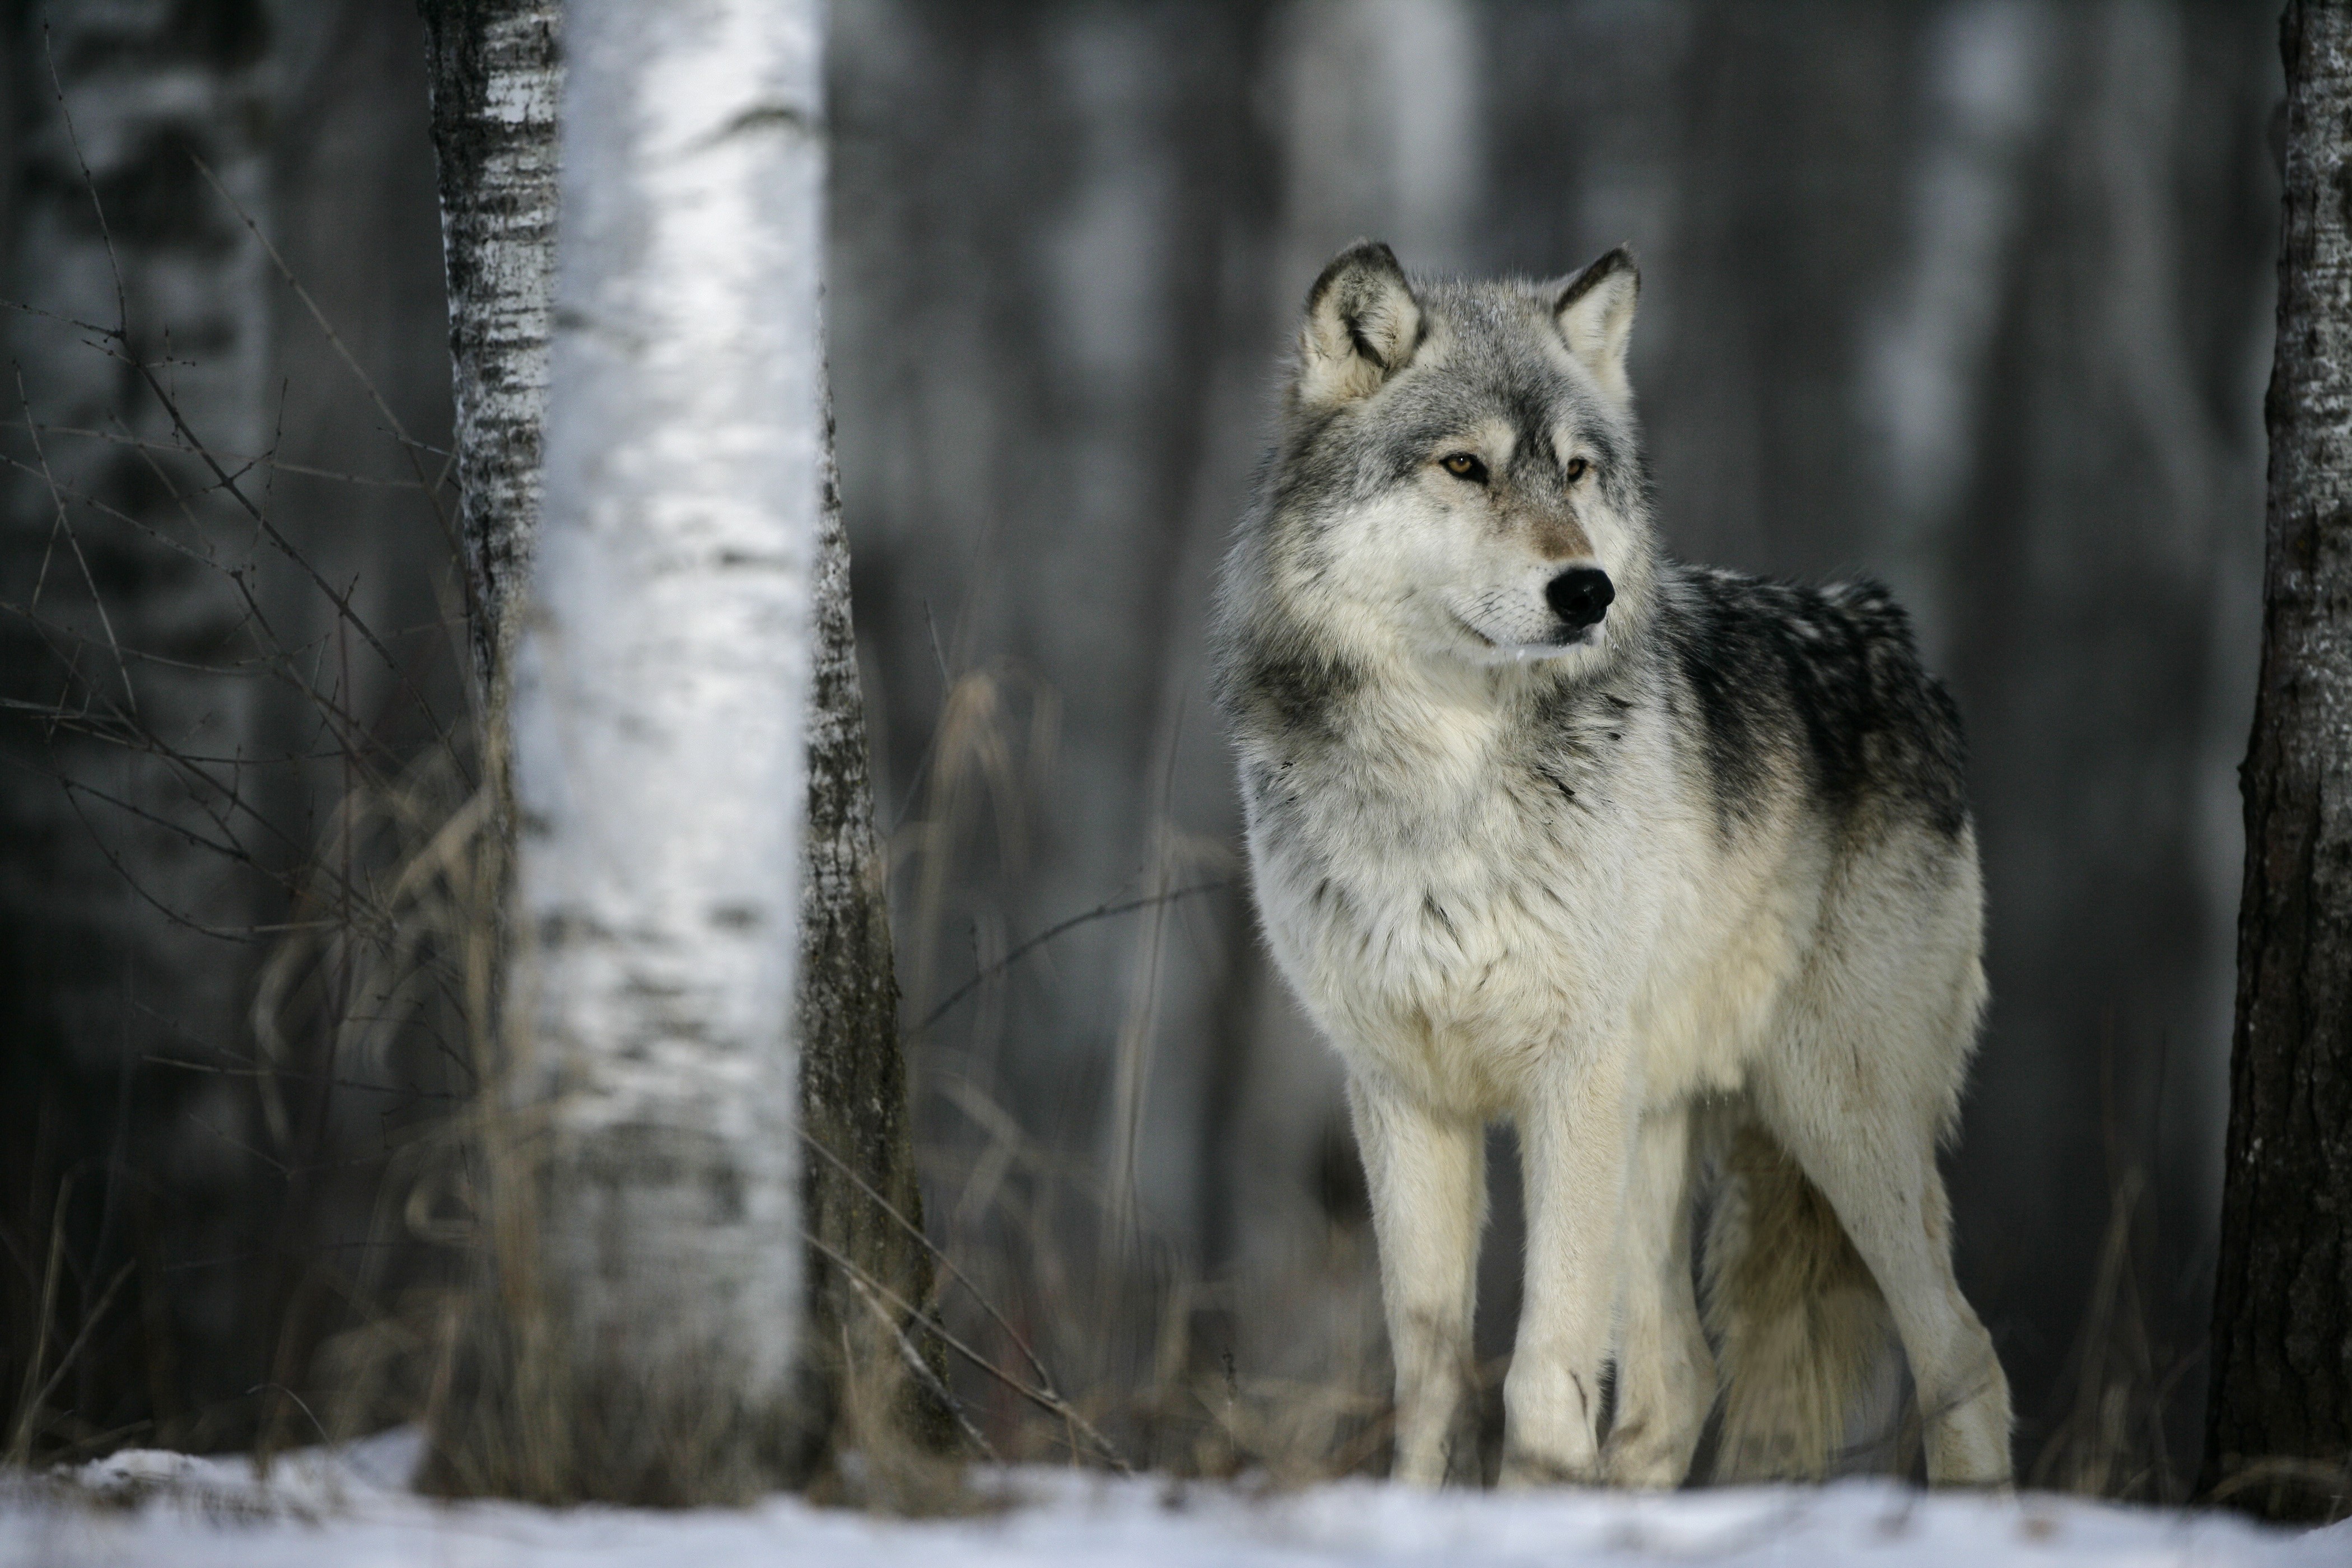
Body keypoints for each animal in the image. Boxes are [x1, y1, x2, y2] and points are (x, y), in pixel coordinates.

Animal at [1211, 241, 2013, 1490]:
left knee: (1964, 1353)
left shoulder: (1568, 1074)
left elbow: (1543, 1368)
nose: (1585, 588)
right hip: (1659, 1117)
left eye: (1579, 472)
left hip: (1832, 1110)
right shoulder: (1401, 1090)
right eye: (1465, 466)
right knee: (1680, 1377)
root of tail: (1894, 637)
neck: (1445, 777)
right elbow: (1431, 1372)